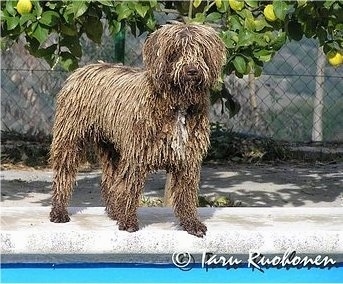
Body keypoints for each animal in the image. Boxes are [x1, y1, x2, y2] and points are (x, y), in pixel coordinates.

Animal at [49, 22, 227, 237]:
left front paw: (191, 223)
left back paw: (114, 211)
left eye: (201, 51)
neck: (177, 104)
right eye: (176, 51)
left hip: (112, 148)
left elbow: (186, 192)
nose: (192, 70)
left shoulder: (188, 158)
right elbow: (130, 188)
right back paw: (59, 211)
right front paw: (128, 221)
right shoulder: (136, 155)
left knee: (110, 181)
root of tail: (82, 69)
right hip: (70, 138)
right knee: (64, 174)